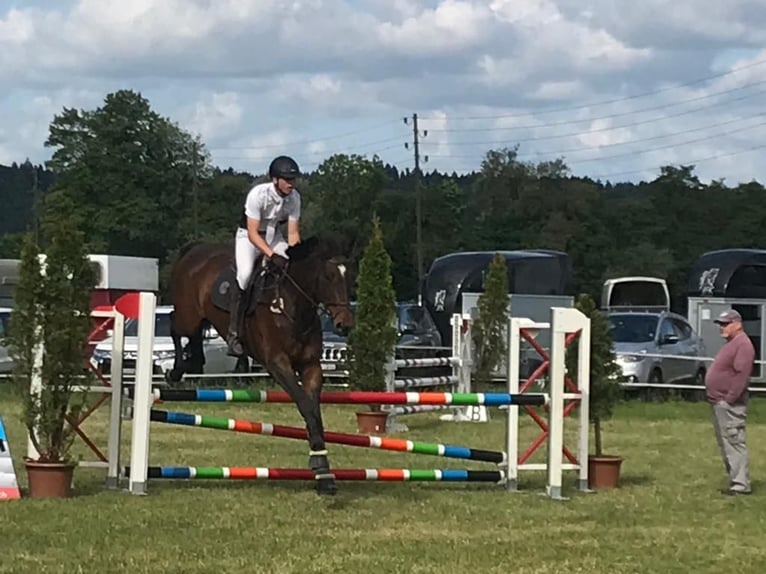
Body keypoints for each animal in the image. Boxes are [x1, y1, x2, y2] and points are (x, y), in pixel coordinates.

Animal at [166, 236, 356, 498]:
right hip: (188, 315)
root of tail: (195, 250)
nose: (344, 325)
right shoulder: (277, 363)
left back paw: (195, 361)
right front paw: (319, 465)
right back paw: (176, 371)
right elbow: (305, 405)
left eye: (349, 277)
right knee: (176, 326)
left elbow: (314, 412)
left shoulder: (311, 366)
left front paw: (324, 474)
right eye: (328, 277)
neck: (292, 306)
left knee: (193, 337)